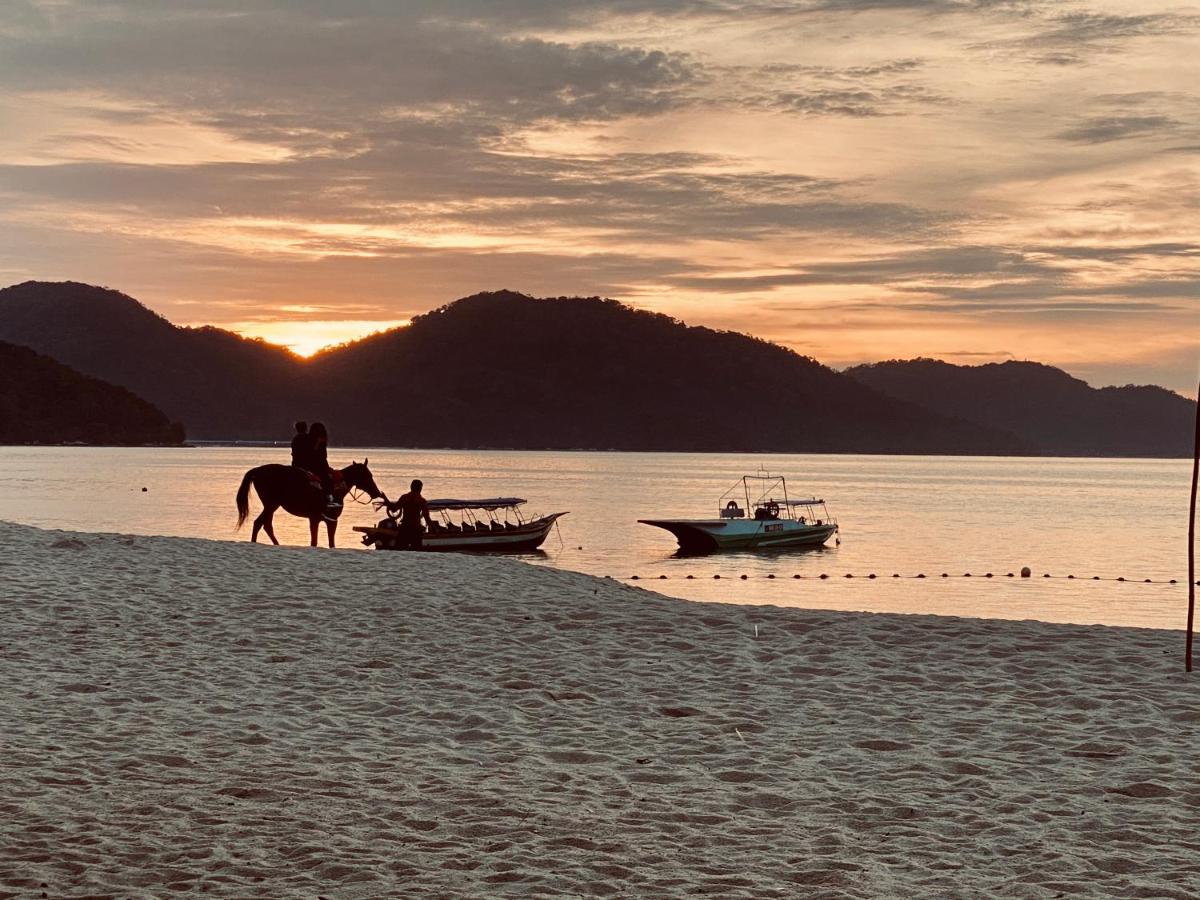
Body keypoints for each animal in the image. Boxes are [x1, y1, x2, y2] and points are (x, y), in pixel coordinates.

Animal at [231, 460, 381, 547]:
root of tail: (258, 470)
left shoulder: (320, 520)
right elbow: (319, 542)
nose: (376, 492)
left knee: (266, 525)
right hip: (271, 504)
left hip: (272, 506)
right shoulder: (326, 520)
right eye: (368, 476)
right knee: (259, 523)